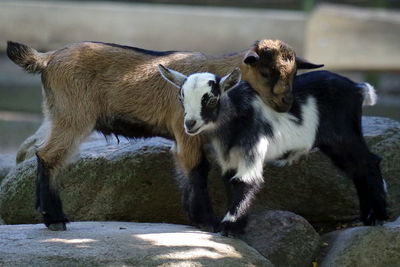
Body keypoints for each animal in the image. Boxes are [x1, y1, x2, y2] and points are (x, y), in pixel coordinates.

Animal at [159, 66, 388, 237]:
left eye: (212, 99)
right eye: (181, 98)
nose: (190, 124)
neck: (236, 117)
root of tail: (357, 88)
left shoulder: (252, 148)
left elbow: (246, 181)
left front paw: (229, 227)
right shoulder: (230, 159)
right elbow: (231, 183)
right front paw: (238, 225)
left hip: (344, 135)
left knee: (368, 162)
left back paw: (377, 216)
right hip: (336, 143)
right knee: (357, 169)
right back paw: (367, 216)